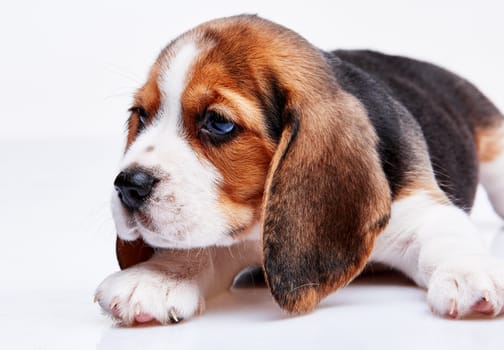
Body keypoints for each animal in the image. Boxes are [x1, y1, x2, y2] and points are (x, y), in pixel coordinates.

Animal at [95, 14, 504, 326]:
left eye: (218, 123)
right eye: (141, 115)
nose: (128, 185)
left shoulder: (421, 209)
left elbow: (448, 238)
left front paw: (469, 274)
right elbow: (202, 248)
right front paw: (159, 276)